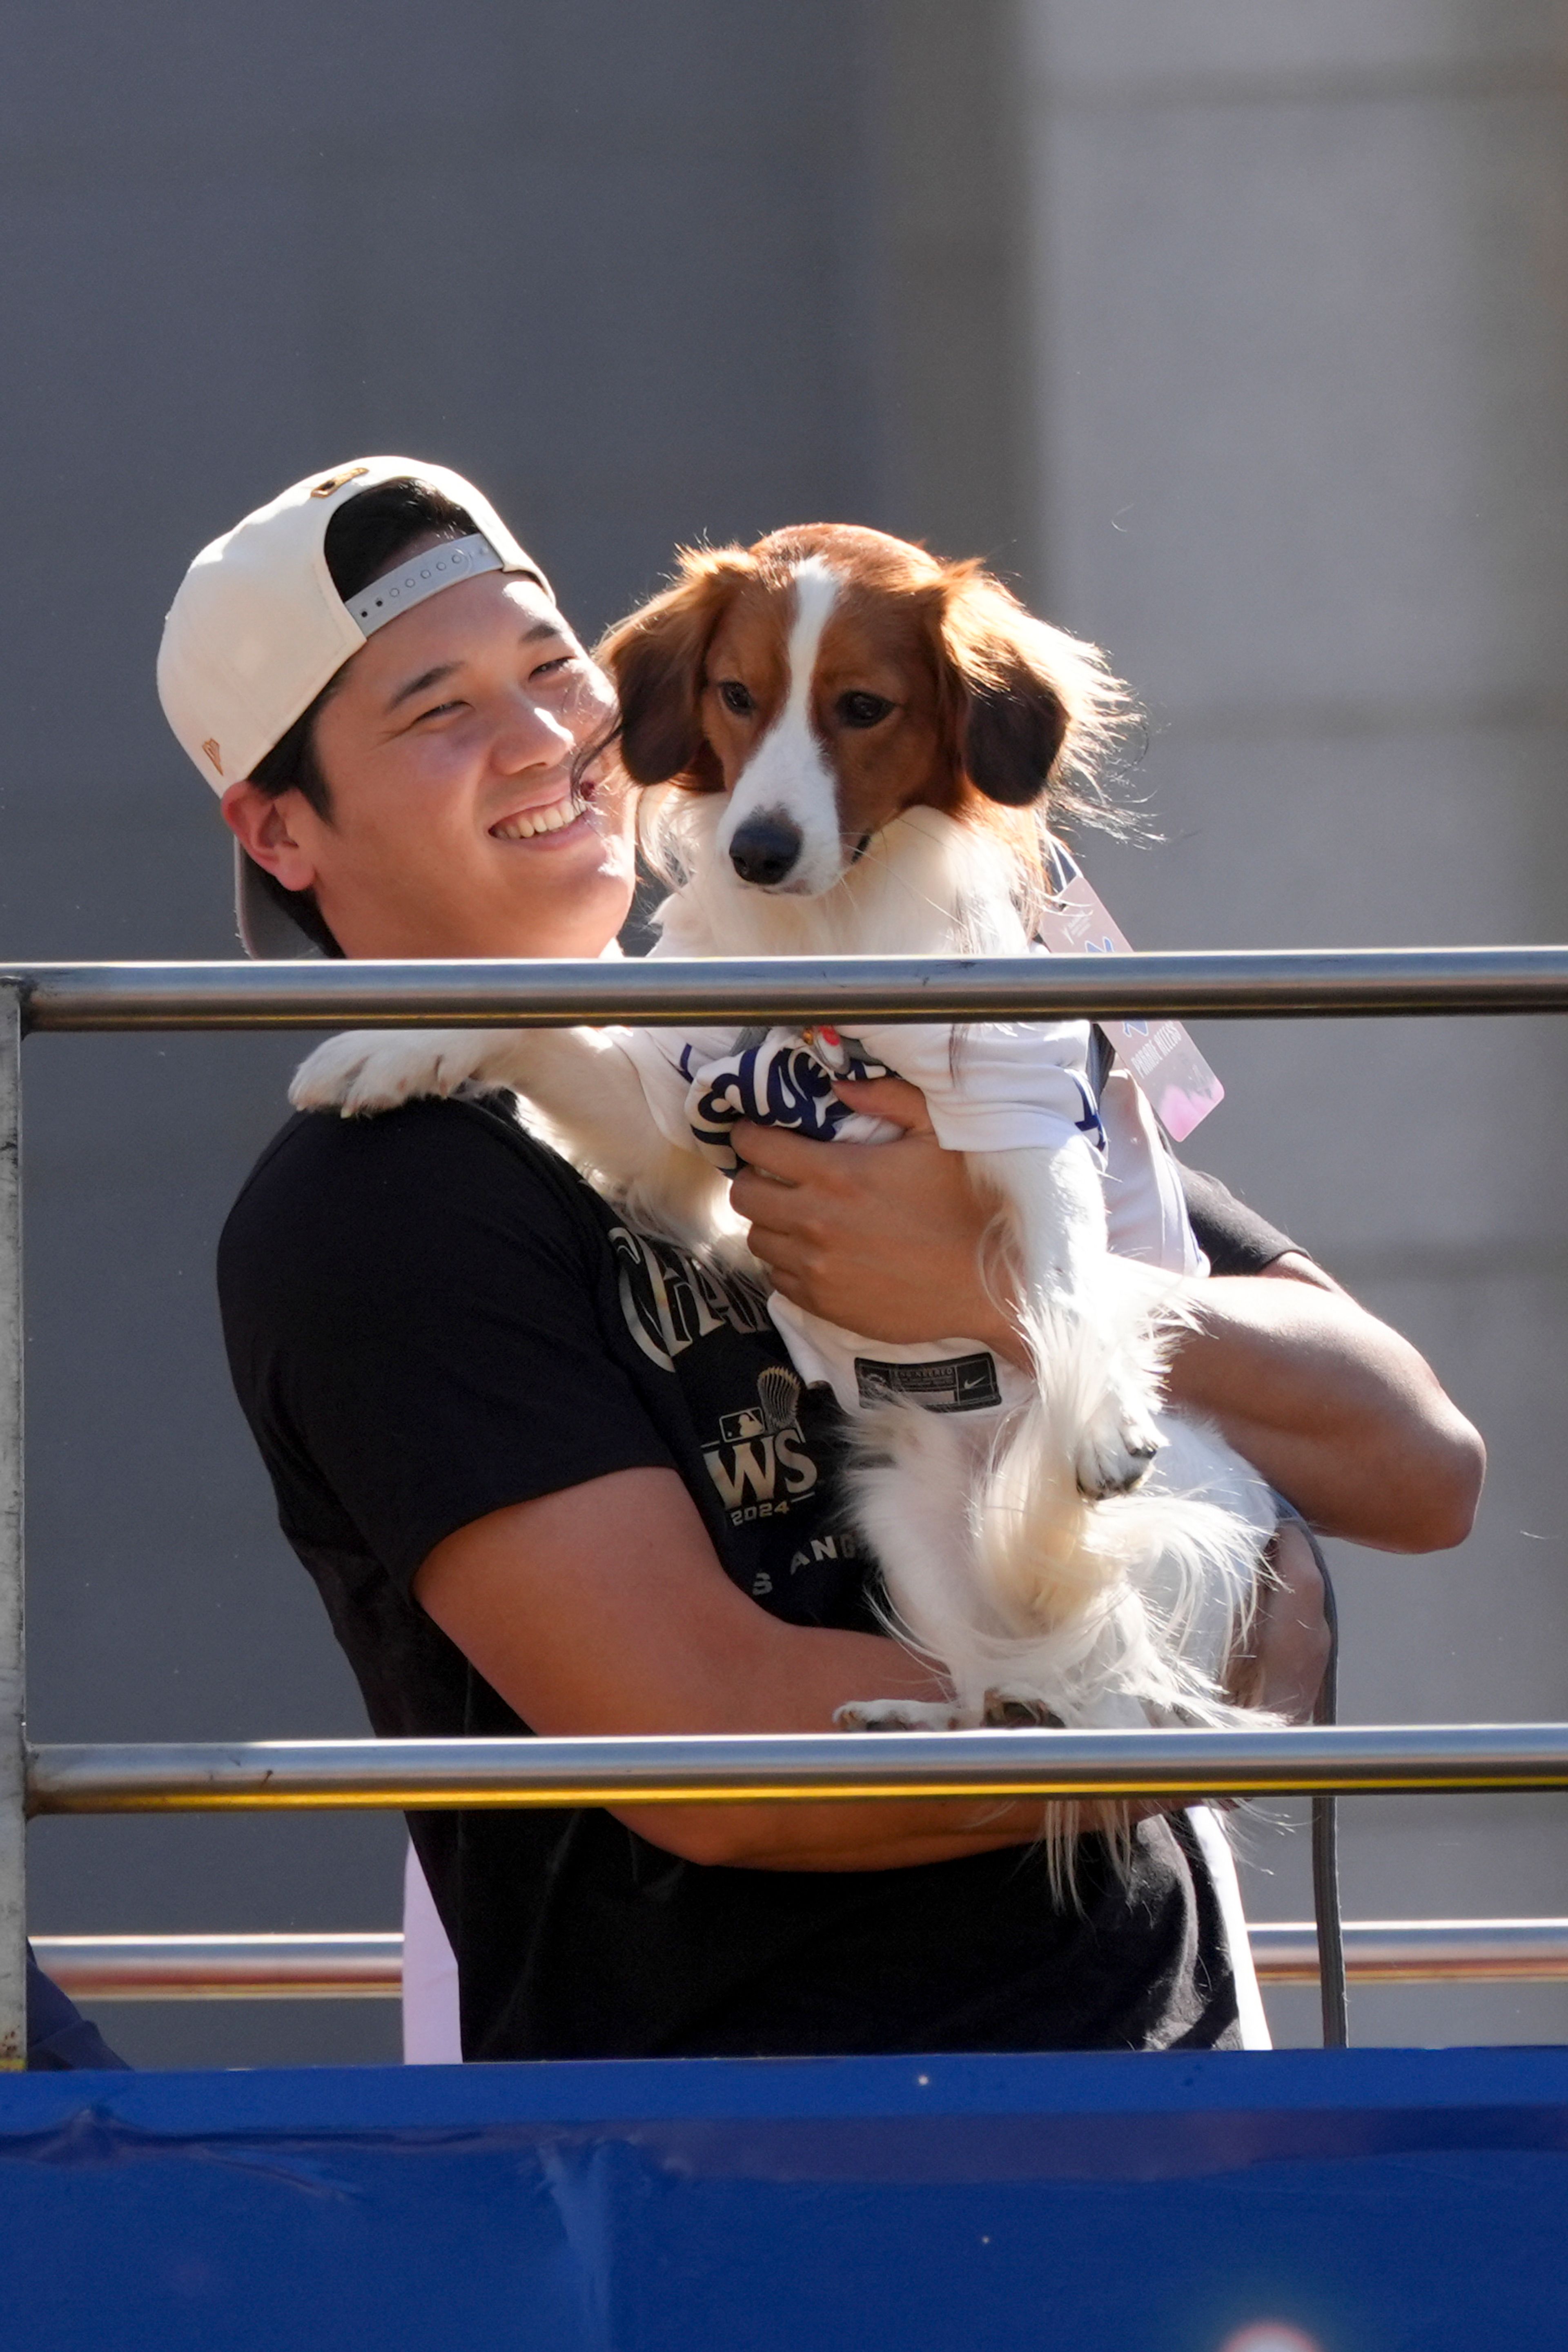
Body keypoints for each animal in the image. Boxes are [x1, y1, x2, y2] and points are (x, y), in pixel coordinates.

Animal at [294, 529, 1278, 1778]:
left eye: (863, 706)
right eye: (736, 695)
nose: (759, 850)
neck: (830, 942)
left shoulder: (1020, 1106)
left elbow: (1062, 1280)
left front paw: (1100, 1413)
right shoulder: (662, 1113)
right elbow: (536, 1031)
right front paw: (385, 1048)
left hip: (1180, 1509)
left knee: (1127, 1699)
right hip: (904, 1512)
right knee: (997, 1663)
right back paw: (954, 1715)